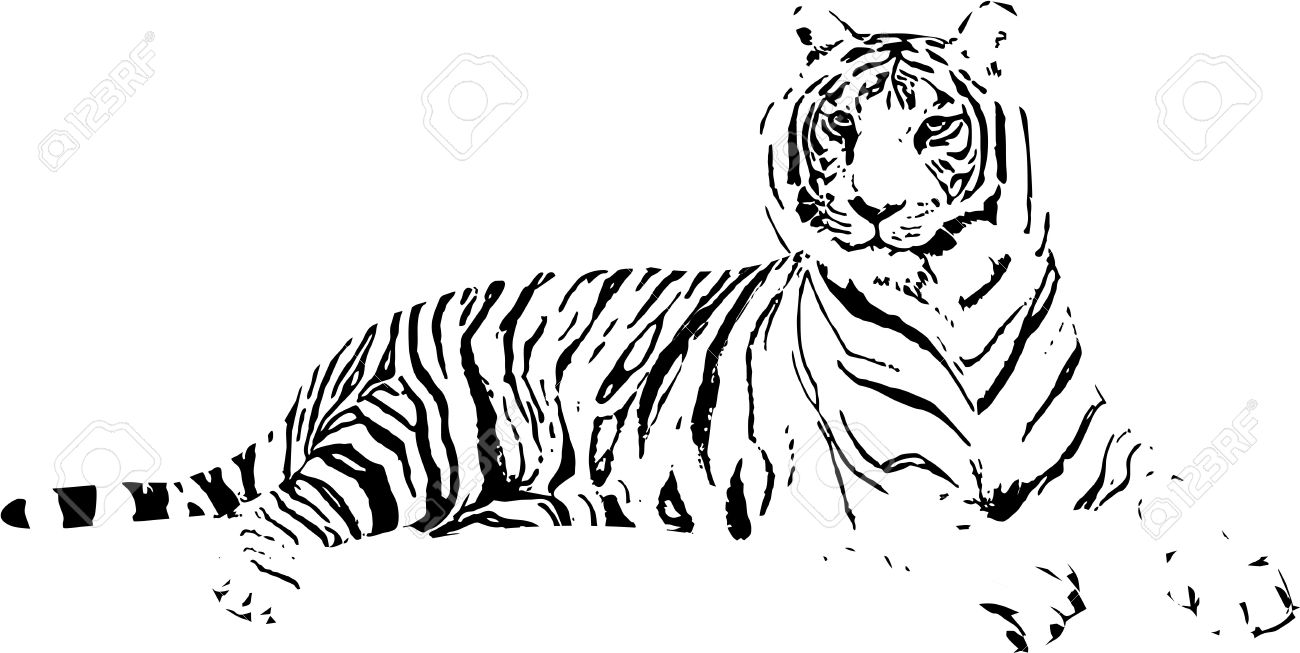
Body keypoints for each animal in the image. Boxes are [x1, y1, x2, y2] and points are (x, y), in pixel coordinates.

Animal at [2, 2, 1293, 649]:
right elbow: (967, 529)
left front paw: (1244, 587)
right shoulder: (892, 485)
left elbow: (1184, 497)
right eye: (842, 130)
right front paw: (1031, 583)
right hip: (409, 442)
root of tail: (350, 337)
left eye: (932, 130)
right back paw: (256, 592)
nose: (880, 211)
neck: (953, 298)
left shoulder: (1101, 452)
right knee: (276, 511)